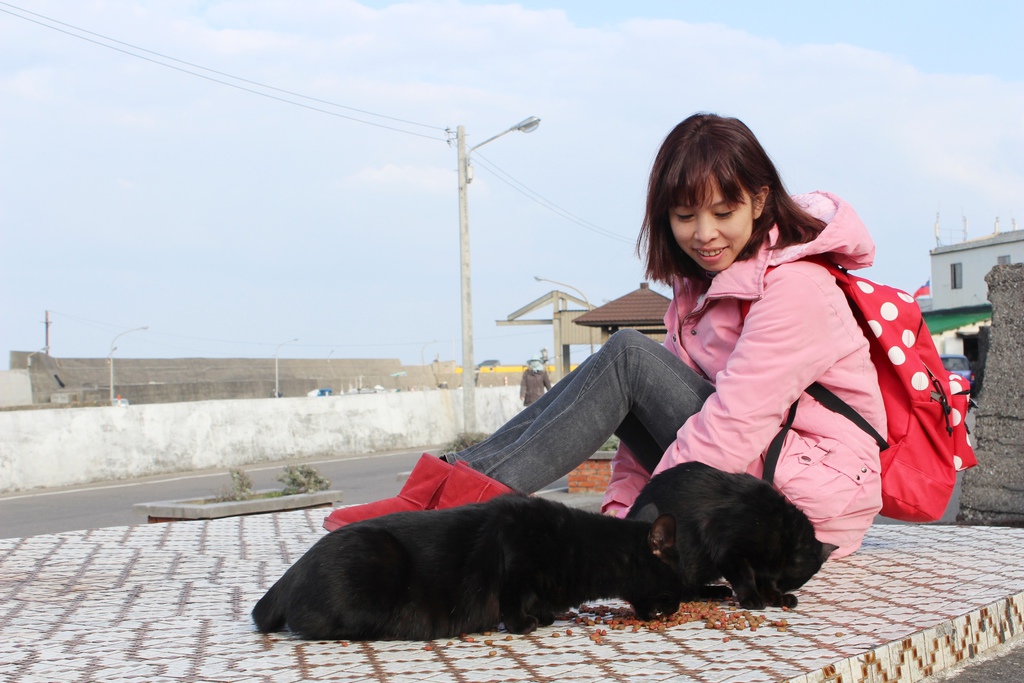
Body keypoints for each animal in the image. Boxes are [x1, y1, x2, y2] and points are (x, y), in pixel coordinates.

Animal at [251, 491, 684, 643]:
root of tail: (290, 572)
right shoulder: (514, 553)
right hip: (375, 555)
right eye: (678, 580)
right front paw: (525, 624)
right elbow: (513, 601)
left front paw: (544, 616)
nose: (679, 605)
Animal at [626, 458, 835, 610]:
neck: (779, 529)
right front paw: (753, 598)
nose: (783, 588)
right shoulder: (726, 548)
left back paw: (717, 591)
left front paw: (776, 597)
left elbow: (764, 579)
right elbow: (744, 576)